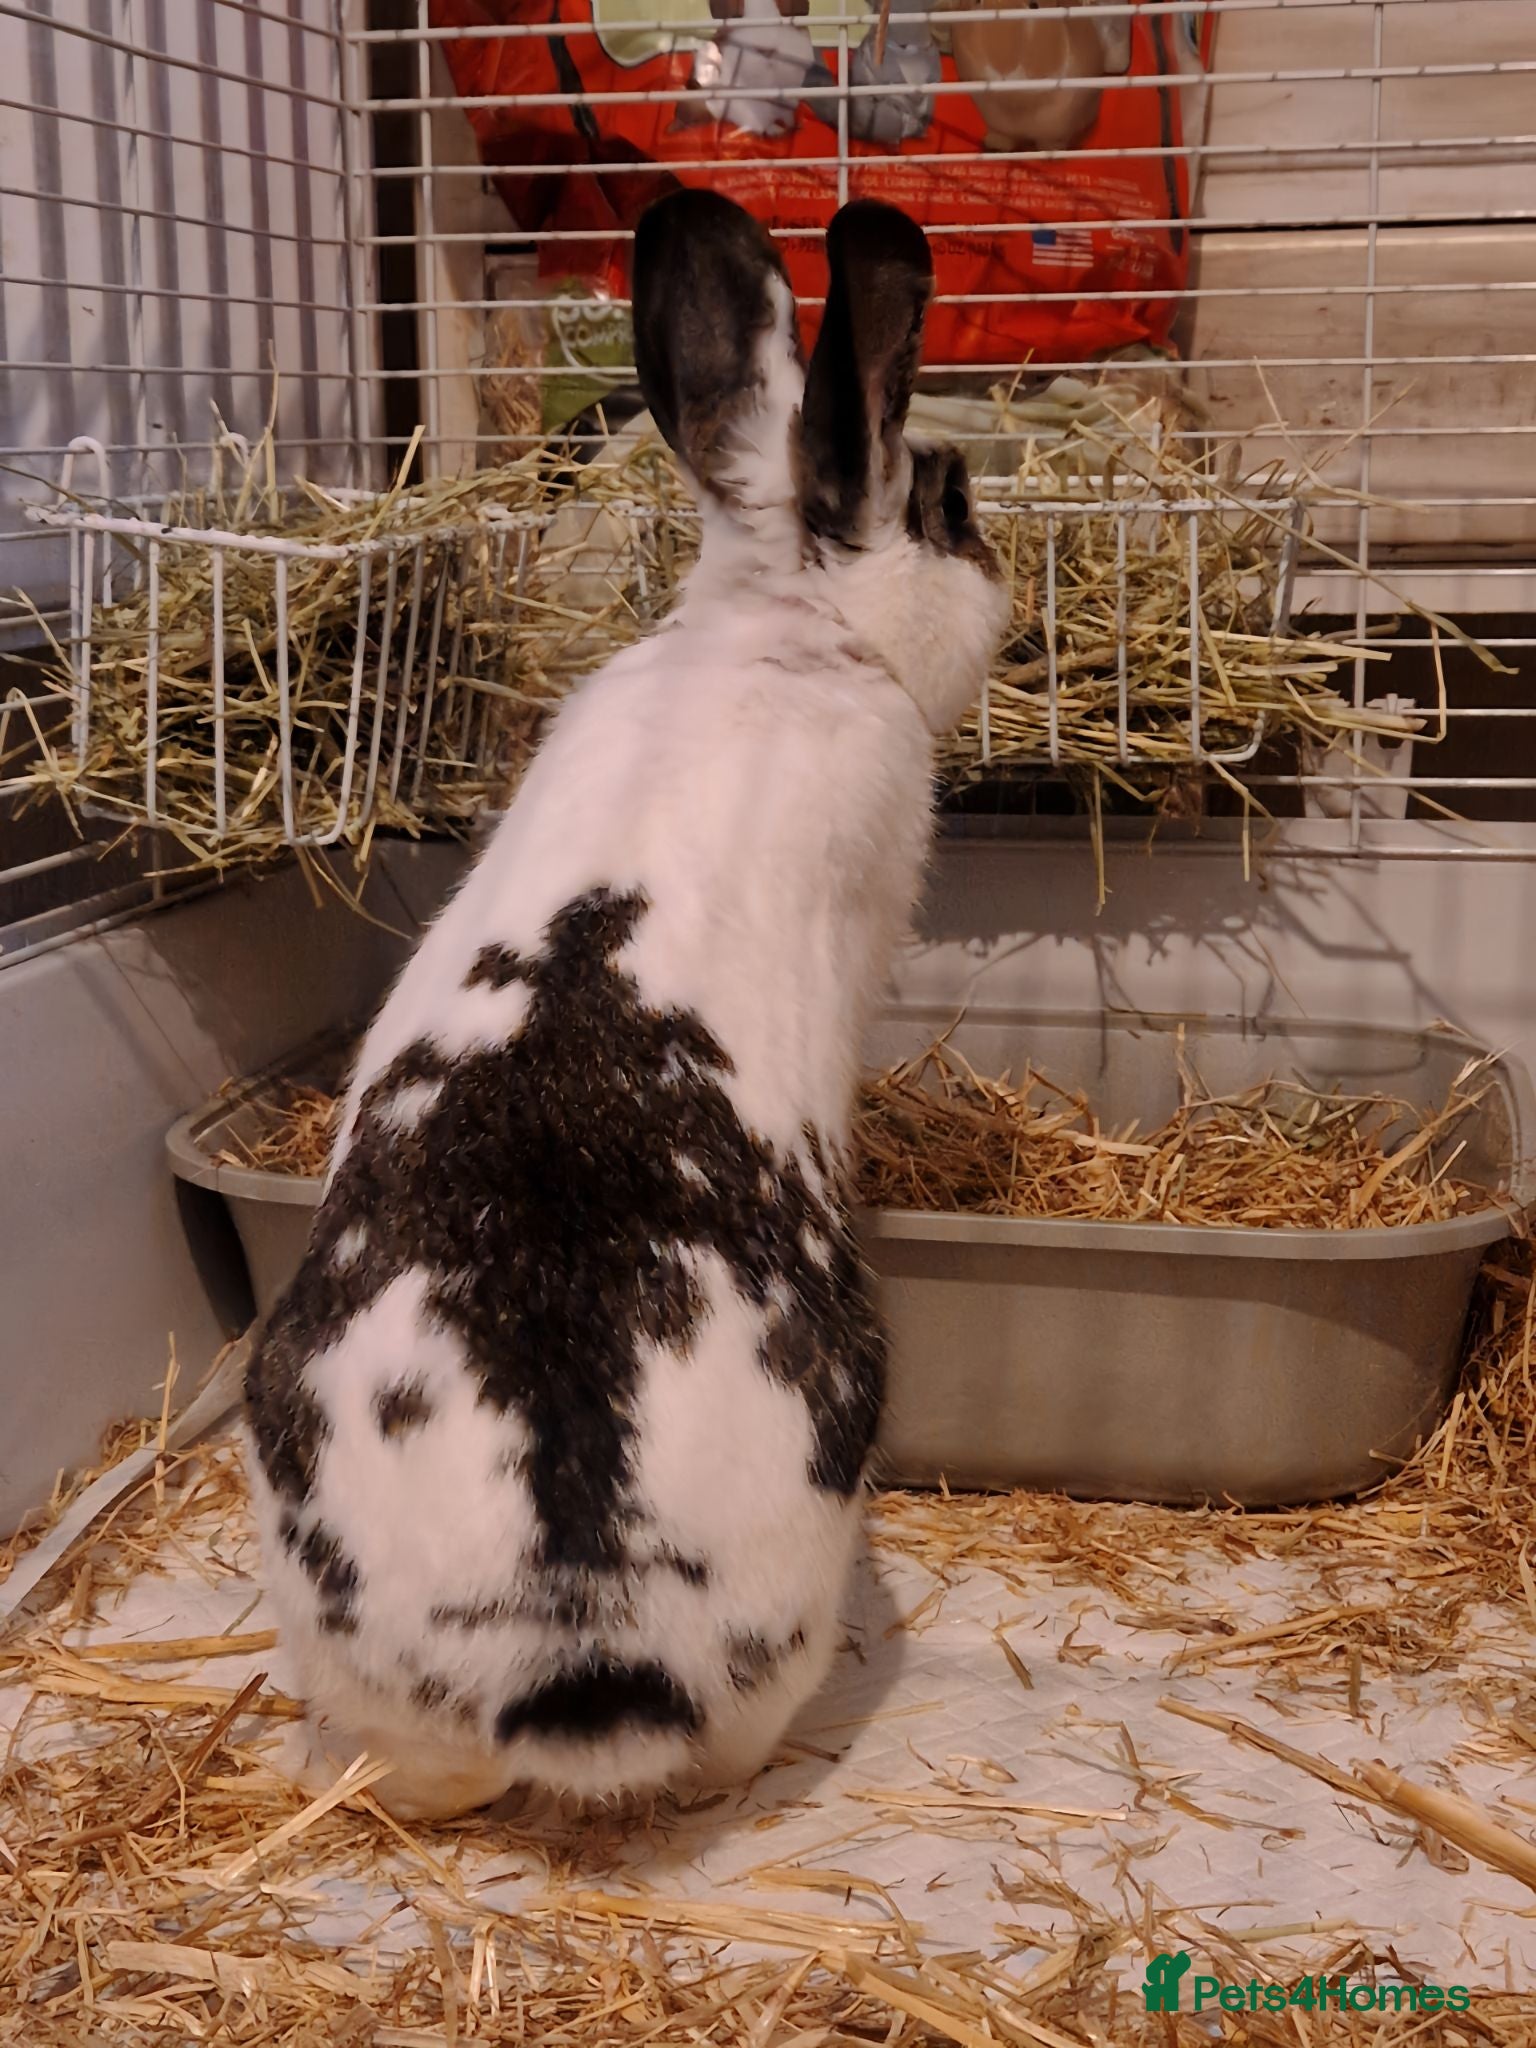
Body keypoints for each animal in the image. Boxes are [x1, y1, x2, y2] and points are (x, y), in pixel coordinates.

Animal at [945, 0, 1131, 153]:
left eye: (1035, 5)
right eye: (977, 1)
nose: (1003, 68)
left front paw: (1050, 152)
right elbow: (1003, 135)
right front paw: (995, 145)